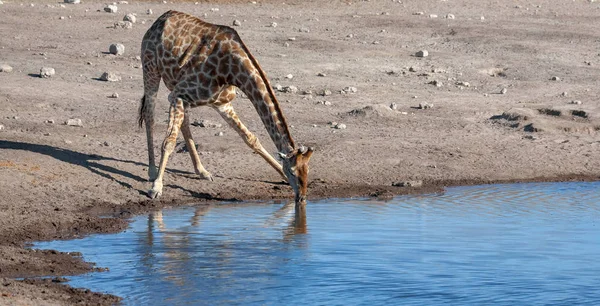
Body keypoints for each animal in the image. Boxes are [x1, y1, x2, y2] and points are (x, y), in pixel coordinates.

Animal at [138, 10, 312, 206]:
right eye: (293, 171)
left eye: (308, 170)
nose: (302, 197)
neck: (232, 70)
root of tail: (160, 19)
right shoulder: (178, 95)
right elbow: (168, 142)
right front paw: (156, 187)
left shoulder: (221, 103)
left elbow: (251, 138)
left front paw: (280, 174)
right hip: (151, 68)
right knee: (150, 115)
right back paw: (152, 171)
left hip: (181, 91)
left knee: (184, 123)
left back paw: (202, 171)